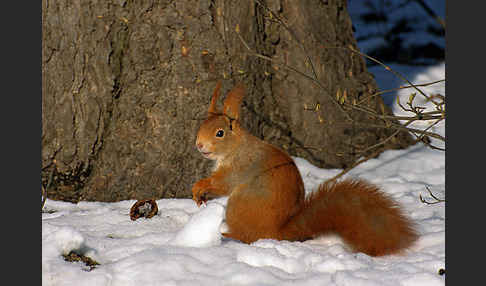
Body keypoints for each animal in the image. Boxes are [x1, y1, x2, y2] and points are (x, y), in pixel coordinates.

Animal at [191, 81, 418, 256]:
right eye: (200, 127)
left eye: (220, 133)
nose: (199, 145)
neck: (235, 148)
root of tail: (278, 232)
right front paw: (198, 196)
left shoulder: (241, 166)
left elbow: (223, 184)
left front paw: (199, 186)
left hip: (238, 206)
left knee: (247, 236)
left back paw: (228, 235)